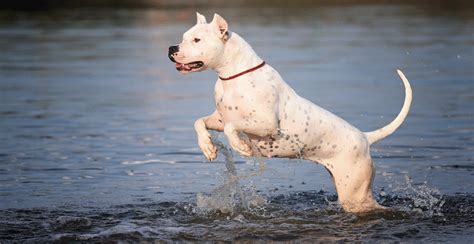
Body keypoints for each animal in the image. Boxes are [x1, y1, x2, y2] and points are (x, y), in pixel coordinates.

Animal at [169, 12, 412, 213]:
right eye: (184, 37)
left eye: (197, 40)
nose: (172, 49)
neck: (233, 76)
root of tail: (365, 137)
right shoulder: (219, 118)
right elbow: (199, 122)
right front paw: (208, 147)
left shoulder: (265, 124)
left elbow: (232, 127)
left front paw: (241, 146)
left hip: (355, 194)